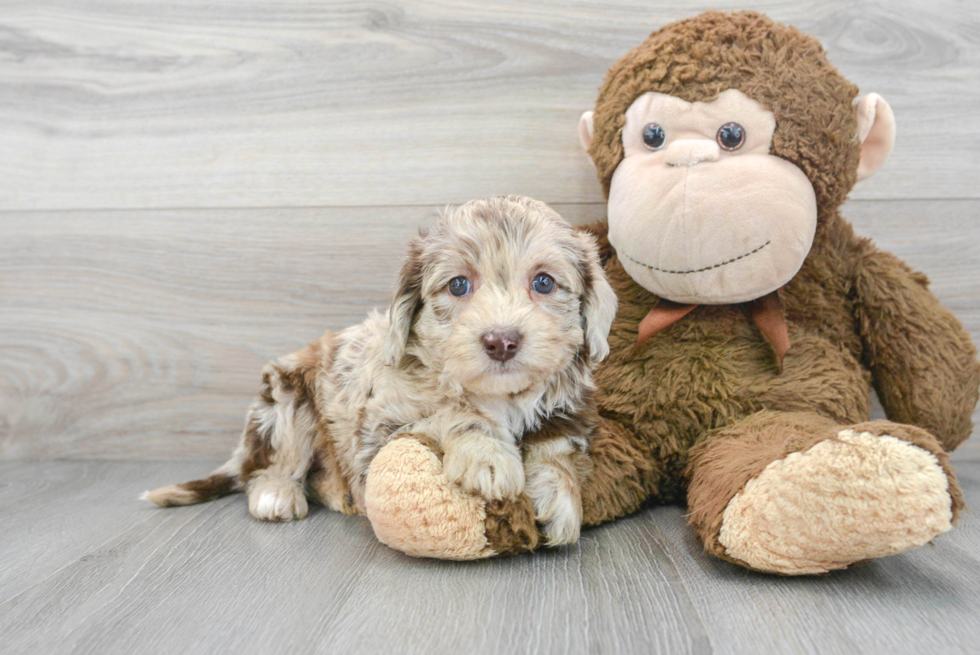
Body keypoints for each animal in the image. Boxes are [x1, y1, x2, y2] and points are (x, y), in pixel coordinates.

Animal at [142, 196, 616, 548]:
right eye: (458, 285)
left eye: (544, 283)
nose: (501, 341)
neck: (500, 396)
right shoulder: (379, 428)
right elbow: (449, 412)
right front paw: (488, 454)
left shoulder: (567, 411)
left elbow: (557, 450)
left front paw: (560, 497)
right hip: (288, 400)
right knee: (274, 463)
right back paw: (277, 494)